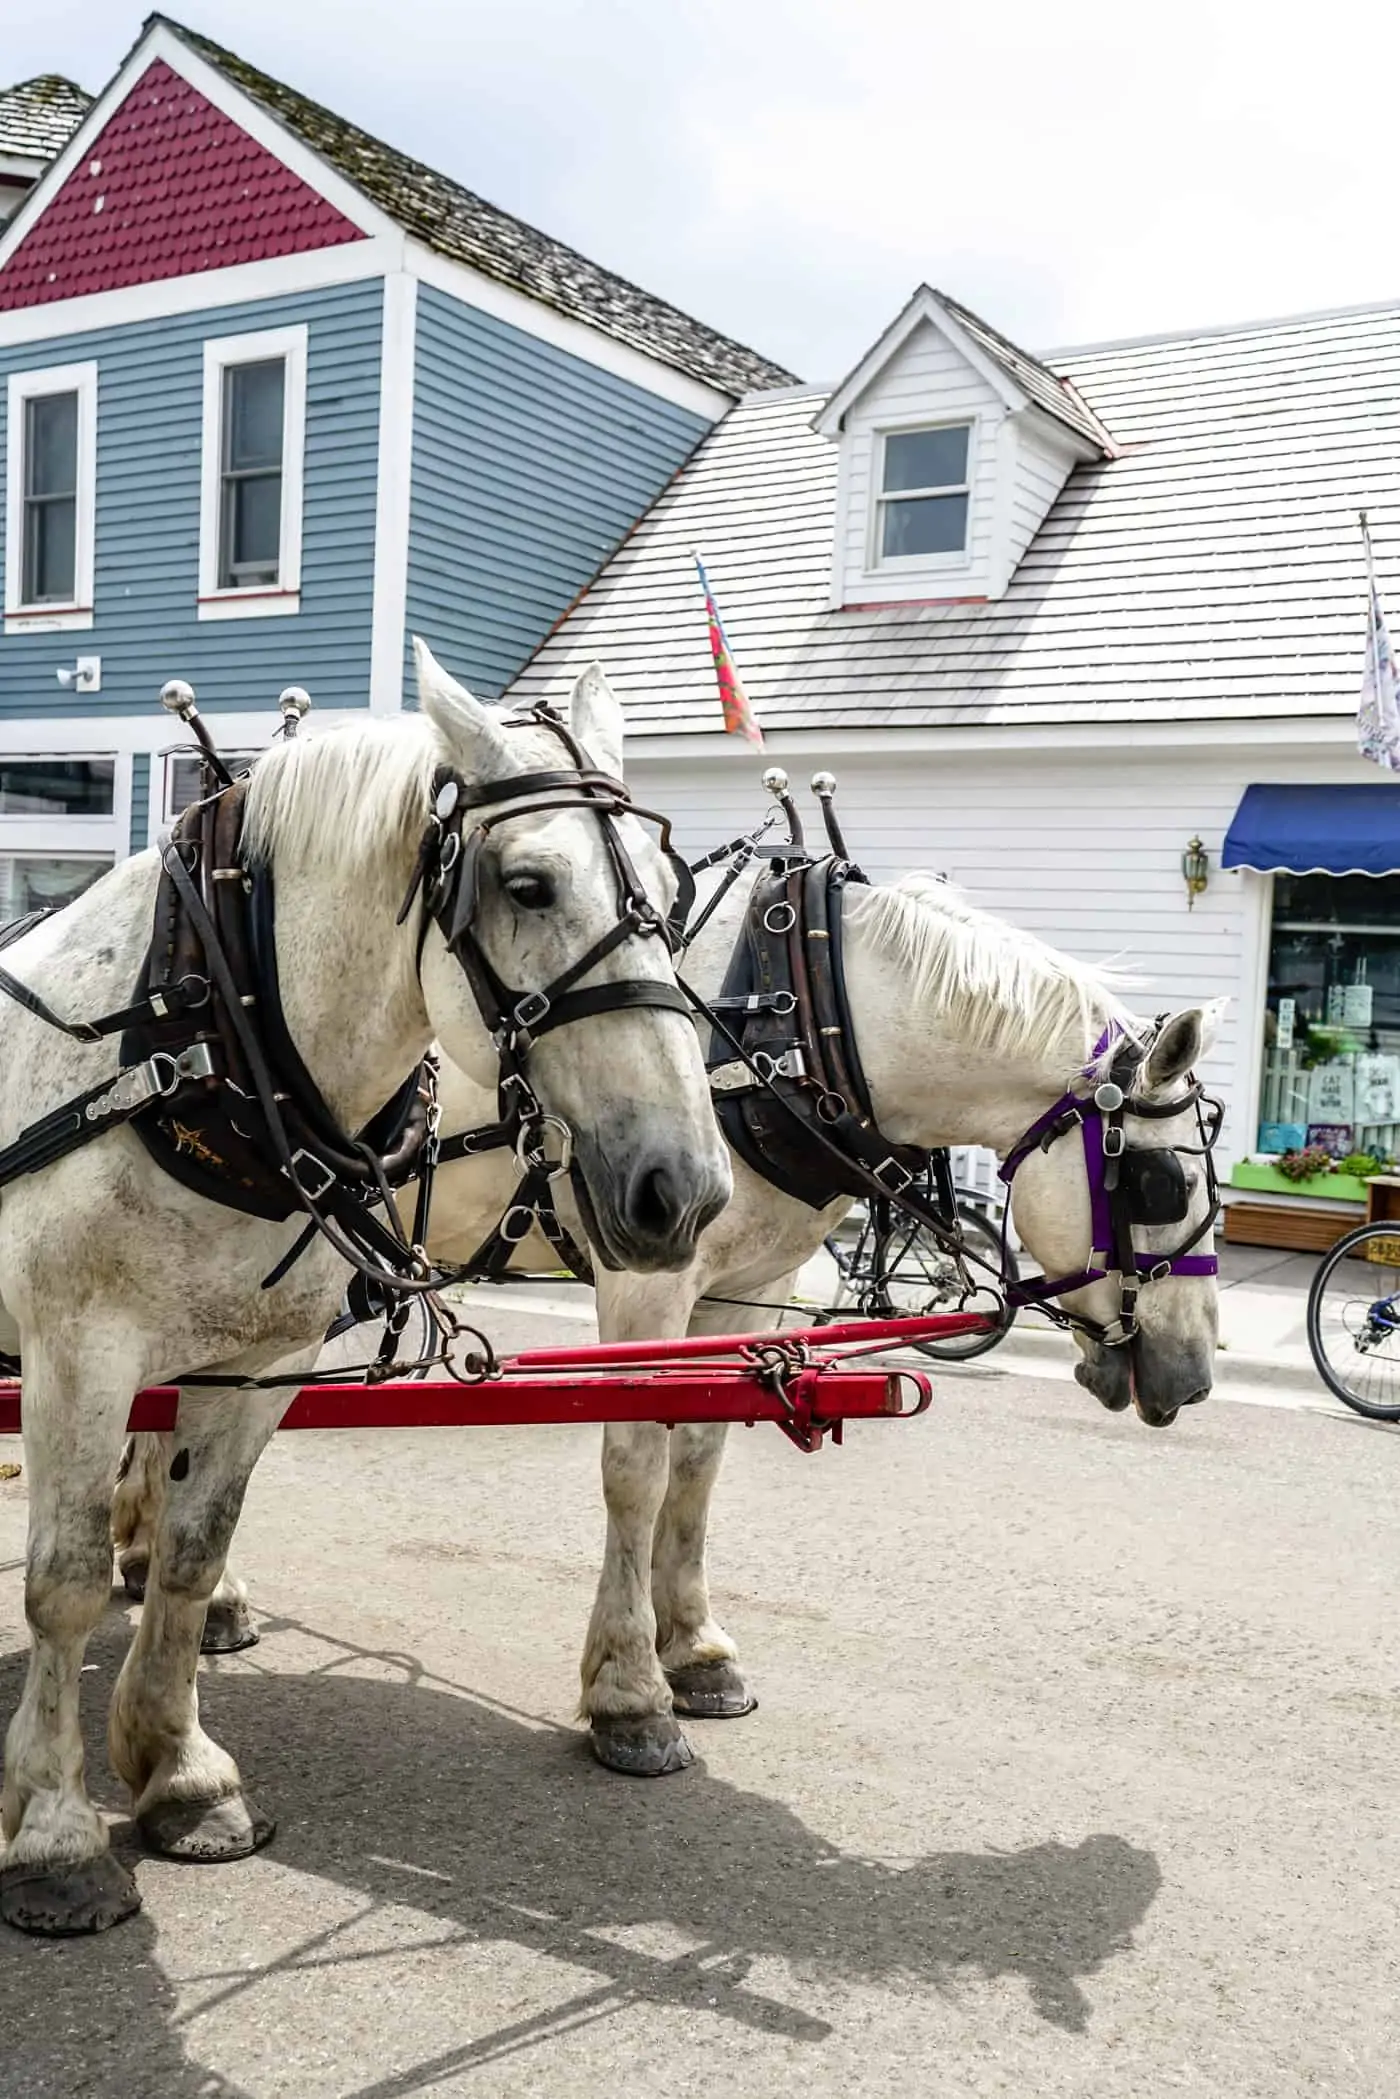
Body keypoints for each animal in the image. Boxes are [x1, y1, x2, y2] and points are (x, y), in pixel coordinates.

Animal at [0, 642, 730, 1931]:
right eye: (528, 884)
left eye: (672, 890)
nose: (681, 1189)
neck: (200, 1039)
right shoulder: (77, 1349)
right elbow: (67, 1580)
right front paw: (52, 1830)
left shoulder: (258, 1361)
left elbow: (190, 1553)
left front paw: (180, 1771)